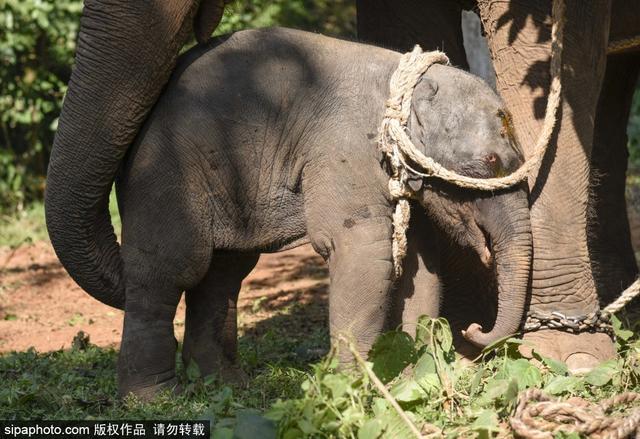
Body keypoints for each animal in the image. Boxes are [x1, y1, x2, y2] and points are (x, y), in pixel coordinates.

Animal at [47, 23, 533, 398]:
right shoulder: (342, 150)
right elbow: (363, 253)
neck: (402, 83)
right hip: (164, 173)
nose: (474, 331)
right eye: (488, 163)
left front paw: (411, 382)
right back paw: (153, 399)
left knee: (223, 275)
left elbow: (418, 266)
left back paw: (224, 384)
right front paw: (346, 390)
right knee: (171, 270)